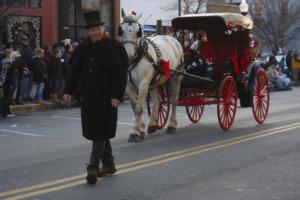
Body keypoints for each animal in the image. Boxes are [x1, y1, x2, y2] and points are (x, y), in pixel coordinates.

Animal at [120, 9, 185, 142]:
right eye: (122, 30)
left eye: (138, 32)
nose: (128, 55)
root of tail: (173, 39)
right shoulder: (129, 86)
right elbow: (134, 106)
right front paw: (141, 129)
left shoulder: (144, 84)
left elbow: (139, 108)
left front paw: (134, 133)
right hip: (155, 81)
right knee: (158, 100)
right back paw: (153, 124)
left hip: (176, 77)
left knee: (174, 100)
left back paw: (172, 125)